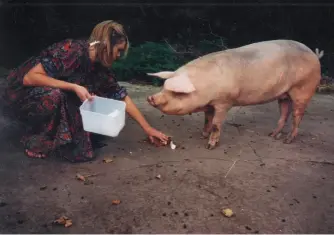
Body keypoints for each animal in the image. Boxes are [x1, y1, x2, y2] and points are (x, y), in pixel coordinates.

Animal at [146, 38, 324, 149]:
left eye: (177, 93)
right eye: (164, 87)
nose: (151, 98)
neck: (206, 86)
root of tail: (314, 54)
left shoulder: (224, 102)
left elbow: (216, 124)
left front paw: (209, 145)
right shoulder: (210, 105)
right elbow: (207, 120)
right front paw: (203, 135)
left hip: (303, 89)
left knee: (297, 116)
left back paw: (287, 141)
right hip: (284, 95)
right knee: (284, 113)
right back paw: (272, 135)